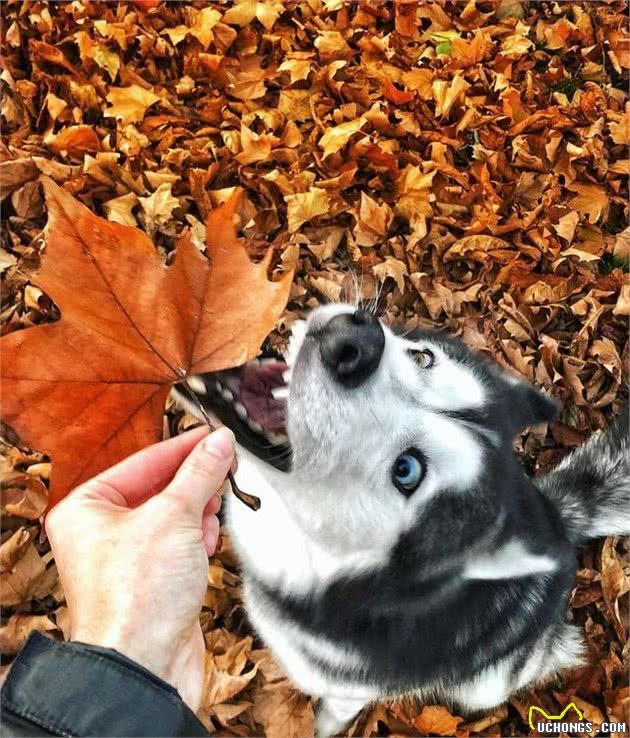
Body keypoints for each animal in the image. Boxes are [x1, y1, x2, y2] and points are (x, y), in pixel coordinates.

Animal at [174, 302, 630, 732]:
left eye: (406, 470)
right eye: (423, 357)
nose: (354, 343)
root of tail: (557, 517)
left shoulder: (349, 691)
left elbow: (334, 714)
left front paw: (323, 728)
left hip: (487, 686)